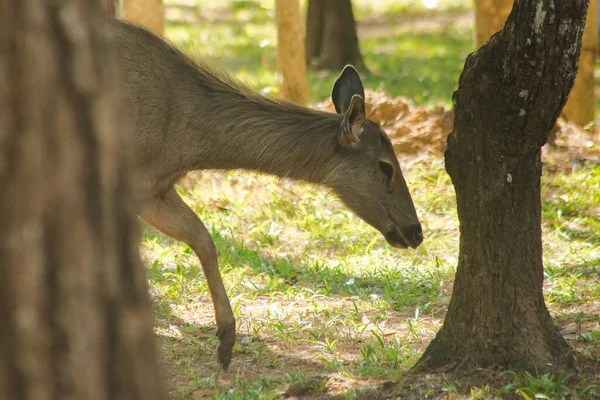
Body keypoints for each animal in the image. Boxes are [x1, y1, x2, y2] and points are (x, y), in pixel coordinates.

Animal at [110, 18, 424, 368]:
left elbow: (203, 239)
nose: (416, 231)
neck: (184, 145)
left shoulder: (154, 190)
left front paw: (226, 340)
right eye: (386, 166)